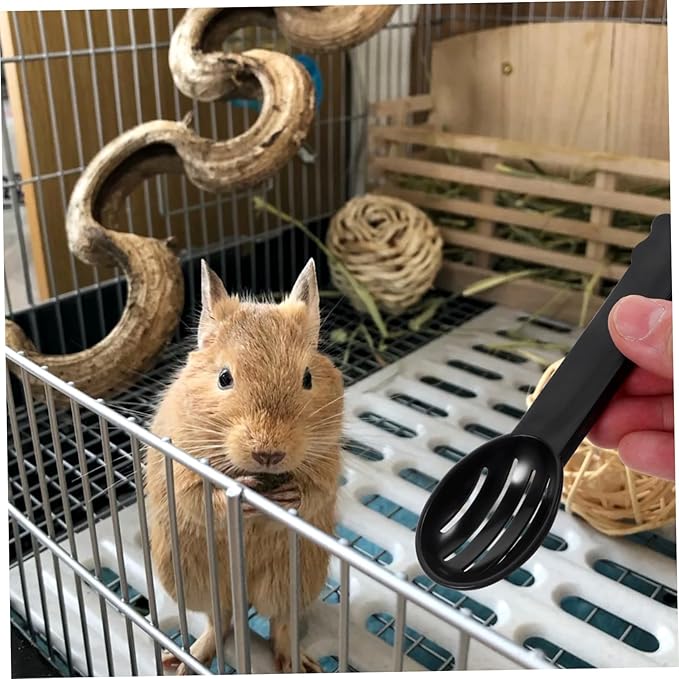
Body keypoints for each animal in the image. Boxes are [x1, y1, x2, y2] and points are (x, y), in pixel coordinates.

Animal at [145, 258, 344, 674]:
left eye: (307, 378)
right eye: (224, 378)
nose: (269, 453)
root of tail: (245, 595)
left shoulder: (327, 463)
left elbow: (314, 492)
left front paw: (288, 496)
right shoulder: (183, 472)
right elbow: (205, 498)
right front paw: (247, 494)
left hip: (293, 581)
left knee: (279, 623)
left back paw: (296, 663)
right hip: (194, 579)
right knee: (218, 620)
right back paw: (187, 659)